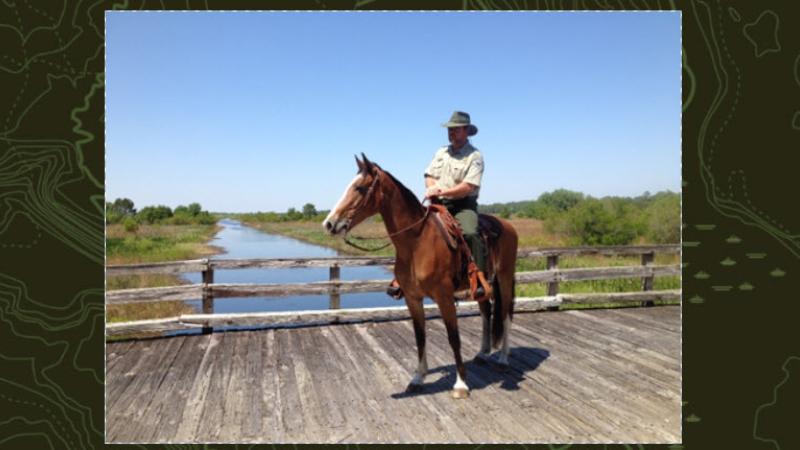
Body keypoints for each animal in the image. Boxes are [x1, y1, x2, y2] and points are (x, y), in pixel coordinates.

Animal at [322, 154, 520, 398]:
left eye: (360, 187)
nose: (329, 223)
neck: (417, 242)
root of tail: (507, 226)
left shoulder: (444, 297)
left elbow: (453, 338)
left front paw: (461, 384)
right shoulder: (412, 298)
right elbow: (420, 336)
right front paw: (418, 377)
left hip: (504, 278)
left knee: (505, 314)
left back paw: (503, 358)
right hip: (482, 287)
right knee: (486, 311)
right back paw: (483, 353)